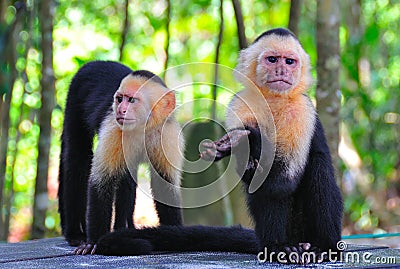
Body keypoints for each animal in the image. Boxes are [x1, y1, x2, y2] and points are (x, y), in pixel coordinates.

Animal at [58, 60, 184, 253]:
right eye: (119, 99)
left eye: (131, 100)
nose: (121, 110)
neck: (144, 127)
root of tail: (94, 62)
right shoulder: (114, 129)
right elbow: (101, 182)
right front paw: (94, 242)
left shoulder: (168, 134)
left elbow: (165, 185)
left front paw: (175, 234)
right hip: (74, 95)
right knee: (77, 157)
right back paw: (75, 234)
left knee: (127, 175)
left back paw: (124, 227)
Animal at [91, 29, 344, 264]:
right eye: (272, 59)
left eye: (290, 62)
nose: (282, 71)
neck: (274, 101)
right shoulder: (240, 105)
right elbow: (261, 177)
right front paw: (238, 144)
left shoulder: (302, 111)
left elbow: (285, 180)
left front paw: (246, 141)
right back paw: (278, 247)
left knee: (317, 168)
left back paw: (322, 247)